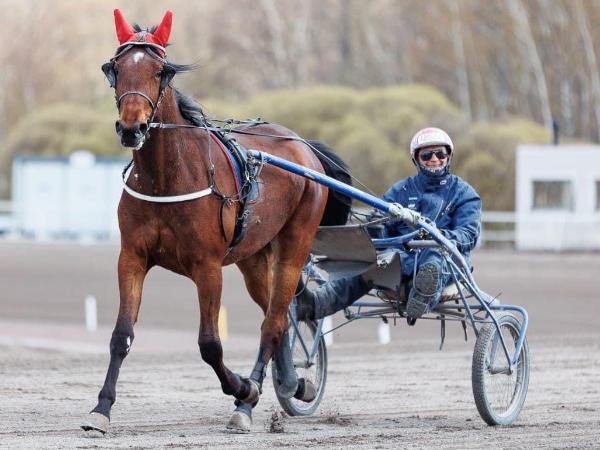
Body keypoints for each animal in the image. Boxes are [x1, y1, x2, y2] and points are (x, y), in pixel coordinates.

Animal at [81, 9, 351, 434]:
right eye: (116, 68)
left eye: (160, 71)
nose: (131, 128)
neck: (167, 176)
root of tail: (301, 144)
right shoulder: (132, 257)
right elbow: (121, 335)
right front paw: (101, 409)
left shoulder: (207, 266)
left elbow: (210, 344)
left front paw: (244, 389)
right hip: (253, 256)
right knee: (279, 313)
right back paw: (293, 382)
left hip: (294, 244)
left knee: (274, 322)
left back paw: (248, 402)